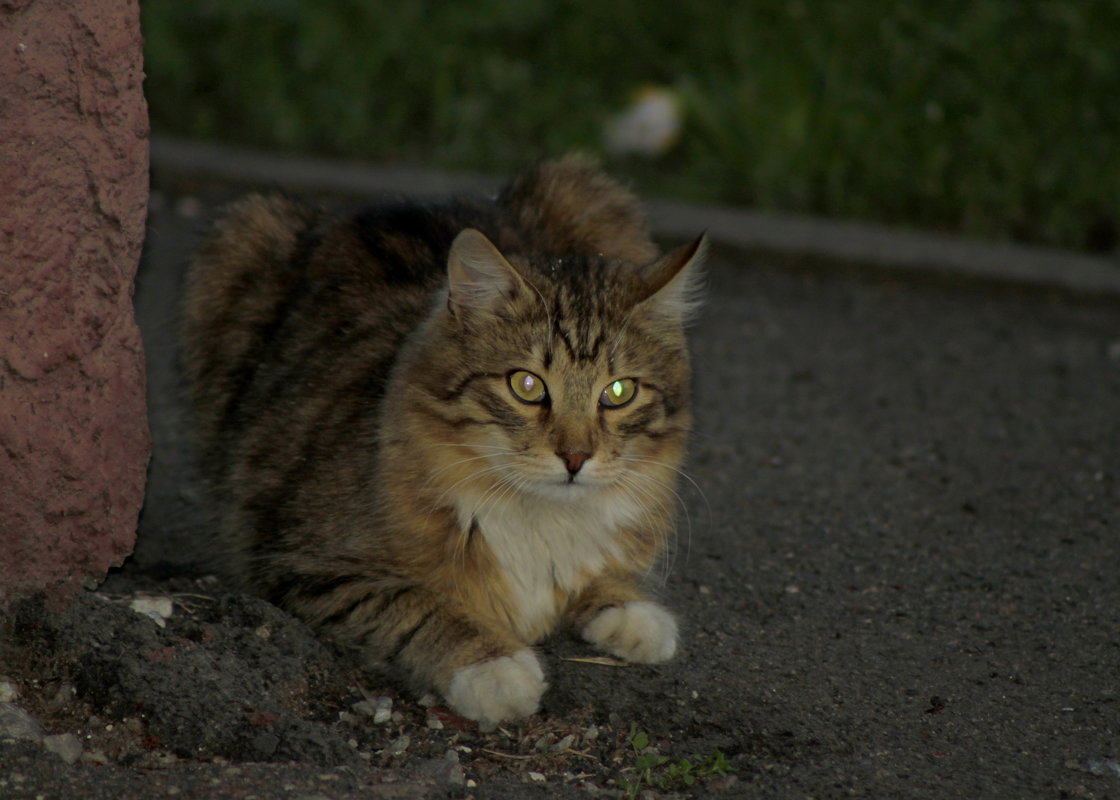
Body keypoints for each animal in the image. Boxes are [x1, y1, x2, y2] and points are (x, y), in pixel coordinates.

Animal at [184, 154, 707, 721]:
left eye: (618, 392)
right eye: (526, 386)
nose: (575, 457)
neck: (538, 515)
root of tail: (395, 203)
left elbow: (600, 571)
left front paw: (630, 610)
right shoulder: (309, 565)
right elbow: (419, 608)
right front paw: (493, 666)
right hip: (239, 238)